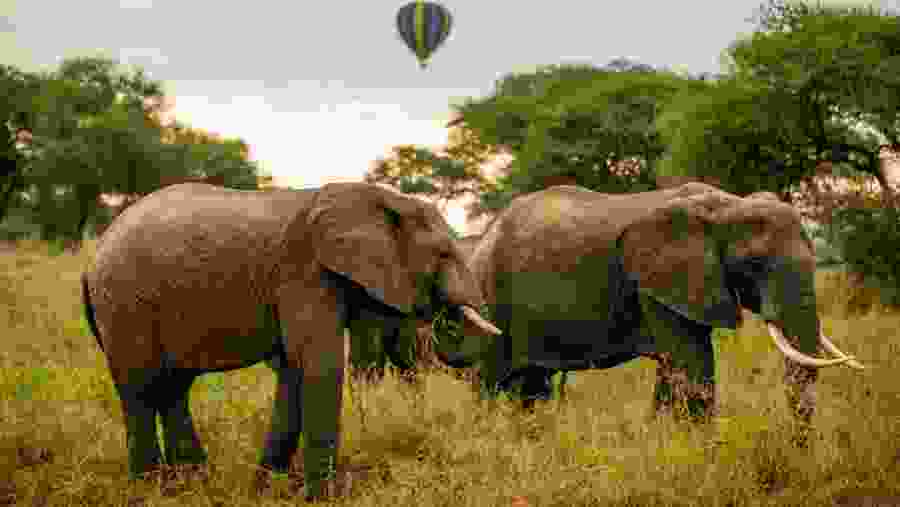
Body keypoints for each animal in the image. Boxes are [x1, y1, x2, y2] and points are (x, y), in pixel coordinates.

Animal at [81, 182, 501, 499]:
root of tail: (93, 257)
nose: (446, 320)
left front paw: (267, 489)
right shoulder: (305, 274)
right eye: (443, 253)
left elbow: (293, 369)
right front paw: (324, 497)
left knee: (173, 388)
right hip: (123, 302)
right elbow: (318, 364)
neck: (377, 197)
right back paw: (149, 490)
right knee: (139, 390)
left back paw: (190, 485)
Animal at [439, 183, 864, 435]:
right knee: (490, 380)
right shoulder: (657, 279)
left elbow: (675, 369)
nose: (797, 447)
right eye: (754, 264)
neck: (725, 204)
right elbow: (693, 367)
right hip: (489, 297)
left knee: (531, 386)